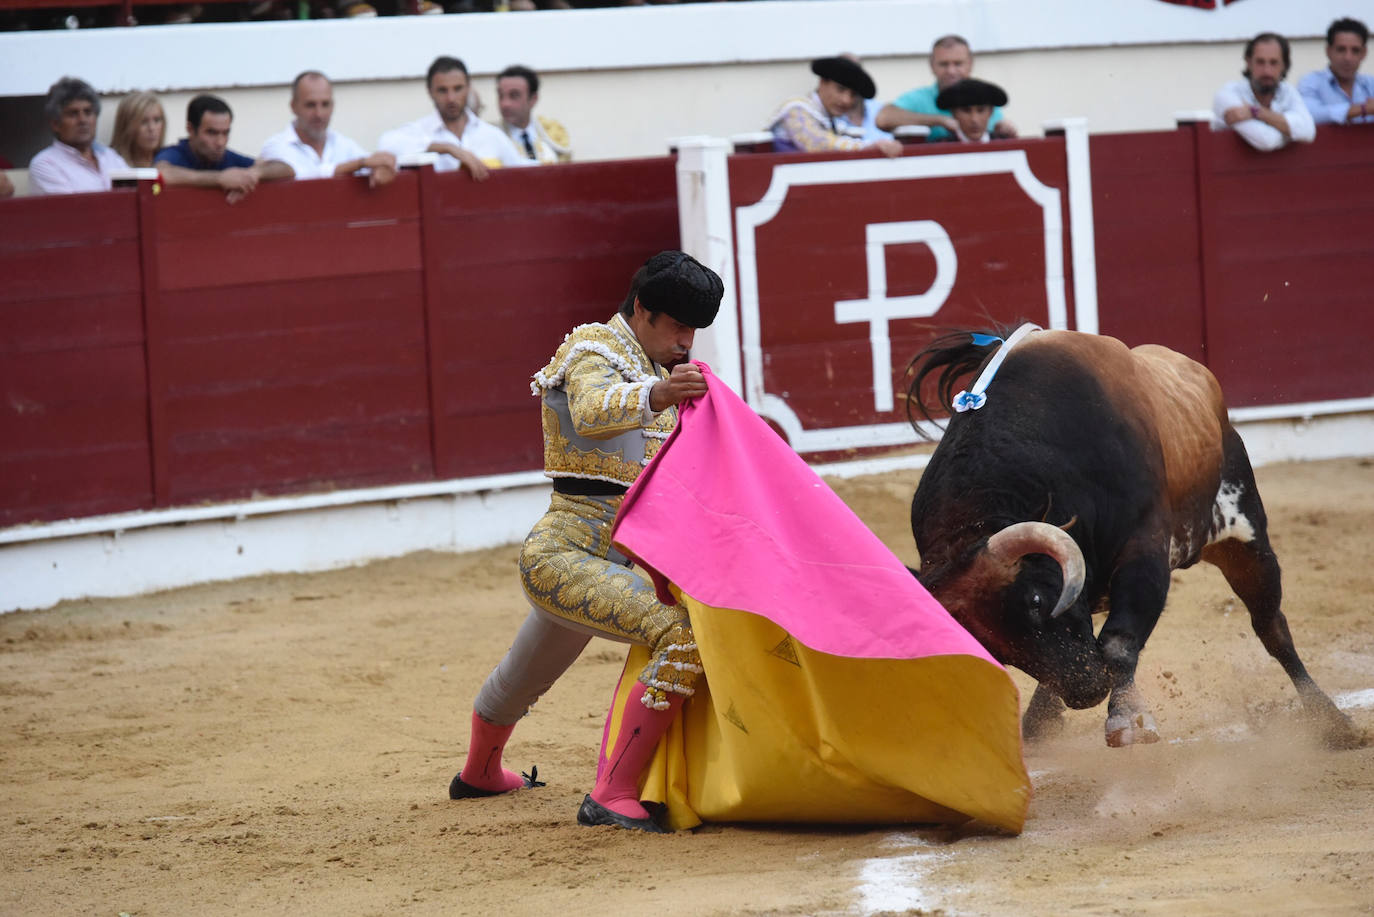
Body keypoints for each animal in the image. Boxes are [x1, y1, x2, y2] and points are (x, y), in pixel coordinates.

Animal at [901, 325, 1363, 747]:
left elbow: (1119, 642)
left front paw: (1127, 719)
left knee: (1272, 627)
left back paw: (1332, 723)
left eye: (1034, 601)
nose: (1086, 690)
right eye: (994, 651)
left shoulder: (1144, 551)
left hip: (1245, 538)